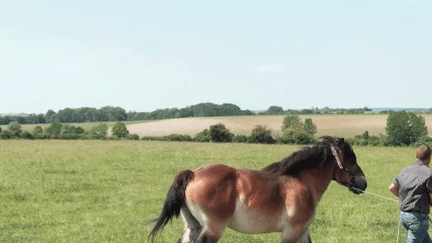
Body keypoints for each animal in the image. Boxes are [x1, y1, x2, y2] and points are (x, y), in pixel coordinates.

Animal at [149, 136, 368, 242]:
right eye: (350, 159)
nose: (363, 183)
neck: (302, 184)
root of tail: (193, 173)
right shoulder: (291, 232)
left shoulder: (302, 231)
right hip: (213, 229)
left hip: (193, 226)